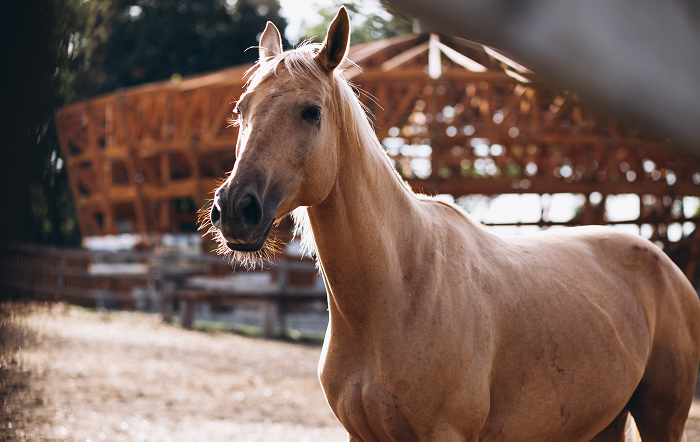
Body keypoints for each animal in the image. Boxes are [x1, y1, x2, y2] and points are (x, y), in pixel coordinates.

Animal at [207, 7, 700, 440]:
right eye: (241, 109)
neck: (396, 290)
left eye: (311, 111)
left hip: (662, 419)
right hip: (600, 423)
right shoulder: (360, 434)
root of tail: (666, 267)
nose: (235, 208)